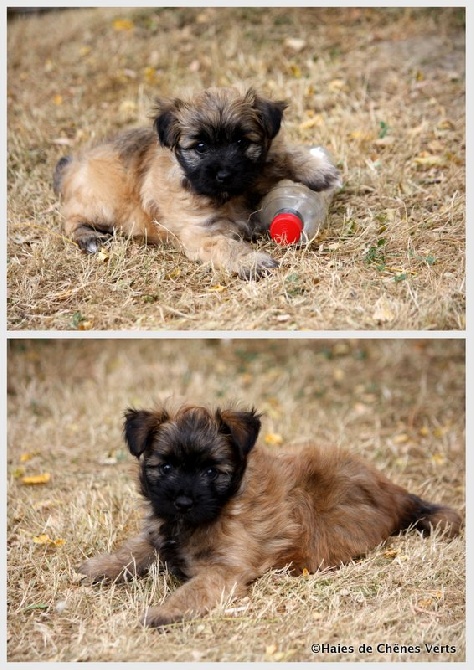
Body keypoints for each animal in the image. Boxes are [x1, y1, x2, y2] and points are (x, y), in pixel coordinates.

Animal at [53, 87, 340, 280]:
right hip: (102, 205)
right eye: (200, 147)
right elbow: (225, 245)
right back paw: (89, 237)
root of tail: (74, 163)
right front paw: (251, 260)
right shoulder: (201, 232)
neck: (230, 197)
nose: (224, 174)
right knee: (70, 219)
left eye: (241, 142)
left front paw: (318, 169)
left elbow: (280, 156)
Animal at [78, 404, 462, 632]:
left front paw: (166, 612)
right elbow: (133, 551)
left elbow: (193, 590)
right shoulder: (160, 535)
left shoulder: (224, 571)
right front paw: (99, 567)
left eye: (210, 471)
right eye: (166, 467)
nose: (183, 501)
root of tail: (395, 493)